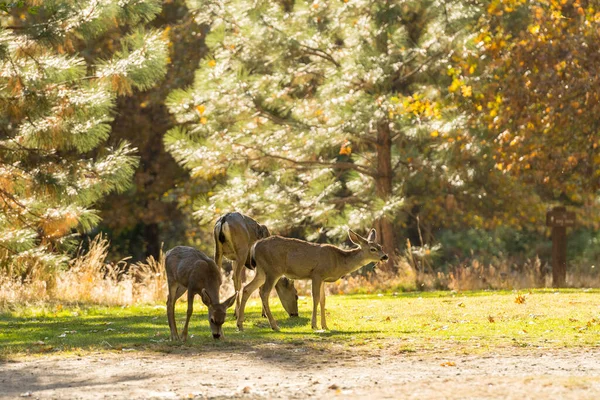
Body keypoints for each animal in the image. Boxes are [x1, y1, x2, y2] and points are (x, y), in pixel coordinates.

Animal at [237, 228, 386, 332]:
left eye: (381, 247)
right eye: (373, 249)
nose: (385, 256)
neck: (338, 261)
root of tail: (255, 246)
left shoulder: (323, 279)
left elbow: (323, 300)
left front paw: (325, 325)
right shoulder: (317, 274)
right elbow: (315, 298)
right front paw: (314, 325)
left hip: (262, 270)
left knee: (247, 288)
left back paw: (240, 325)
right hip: (273, 269)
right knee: (264, 292)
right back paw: (274, 326)